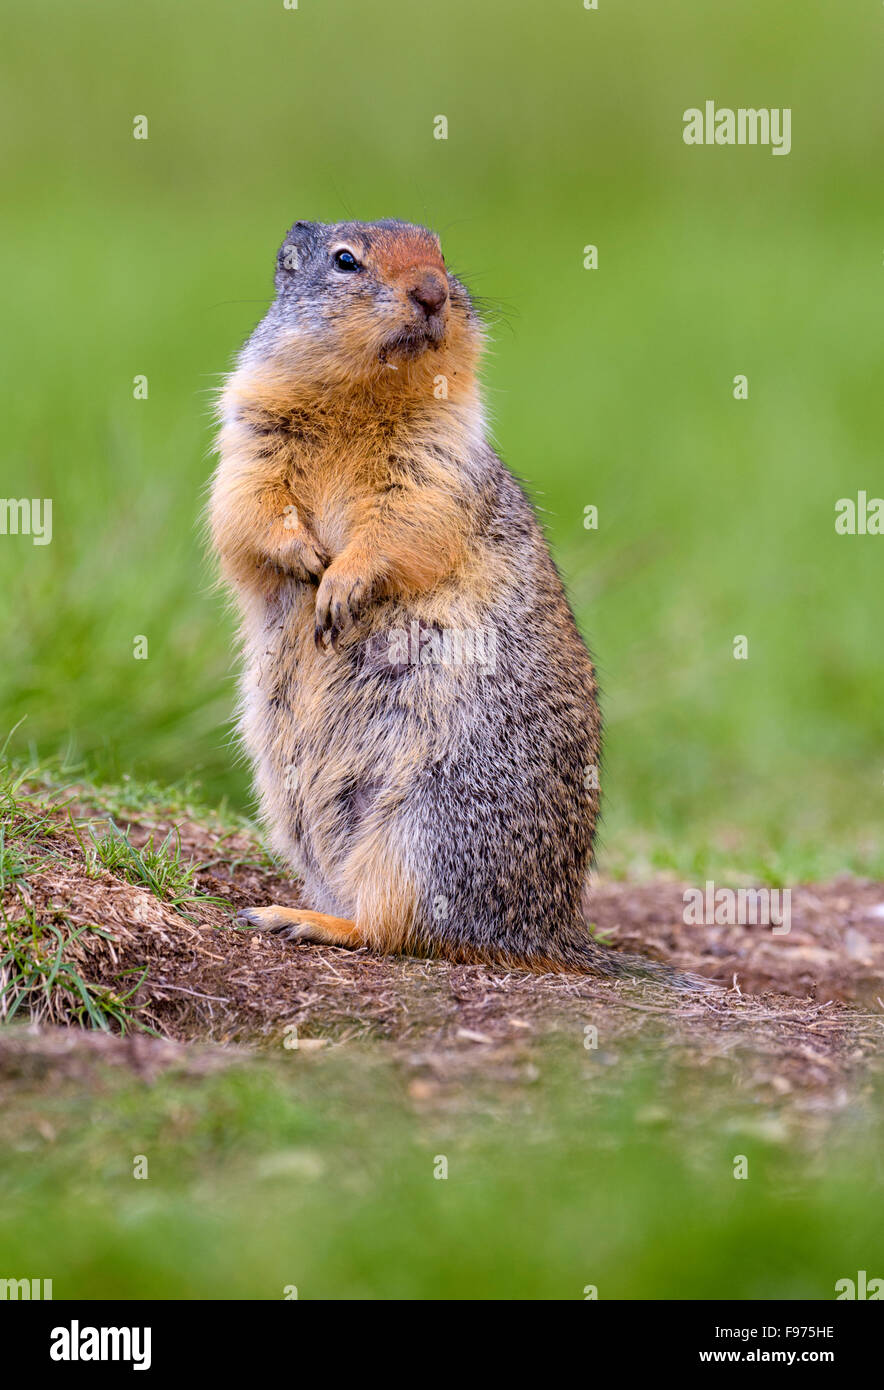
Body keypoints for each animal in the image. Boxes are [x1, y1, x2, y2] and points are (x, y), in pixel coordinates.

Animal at [211, 216, 700, 984]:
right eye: (345, 261)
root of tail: (551, 932)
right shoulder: (250, 431)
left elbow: (403, 522)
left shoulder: (440, 460)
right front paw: (304, 560)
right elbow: (246, 508)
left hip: (427, 827)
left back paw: (303, 919)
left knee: (399, 929)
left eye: (442, 254)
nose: (433, 293)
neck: (364, 399)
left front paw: (339, 585)